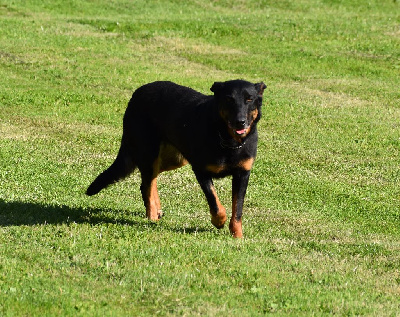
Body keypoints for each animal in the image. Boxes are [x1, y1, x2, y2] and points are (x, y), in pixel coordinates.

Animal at [88, 80, 268, 236]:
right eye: (229, 99)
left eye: (249, 99)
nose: (240, 122)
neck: (227, 140)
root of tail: (137, 93)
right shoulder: (200, 170)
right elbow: (214, 200)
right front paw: (219, 221)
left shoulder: (242, 174)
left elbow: (238, 208)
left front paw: (237, 236)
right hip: (149, 153)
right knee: (146, 184)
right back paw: (152, 215)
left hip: (174, 159)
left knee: (150, 180)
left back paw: (156, 209)